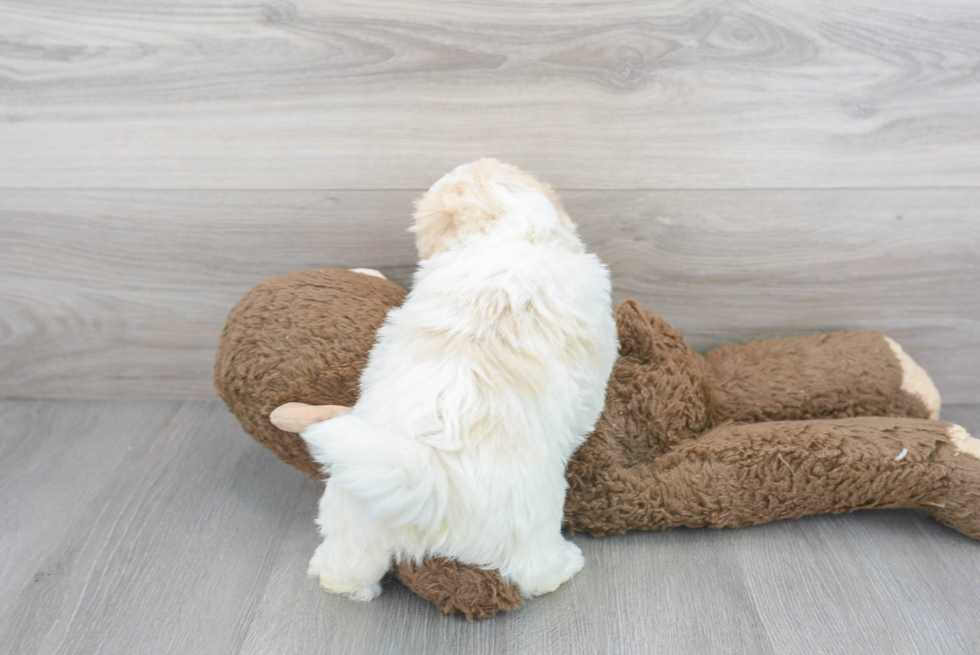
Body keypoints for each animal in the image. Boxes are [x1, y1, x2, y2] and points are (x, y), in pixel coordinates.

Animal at [302, 158, 616, 600]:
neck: (503, 234)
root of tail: (430, 484)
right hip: (532, 515)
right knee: (533, 568)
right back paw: (563, 567)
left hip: (353, 520)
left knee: (347, 567)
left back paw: (339, 580)